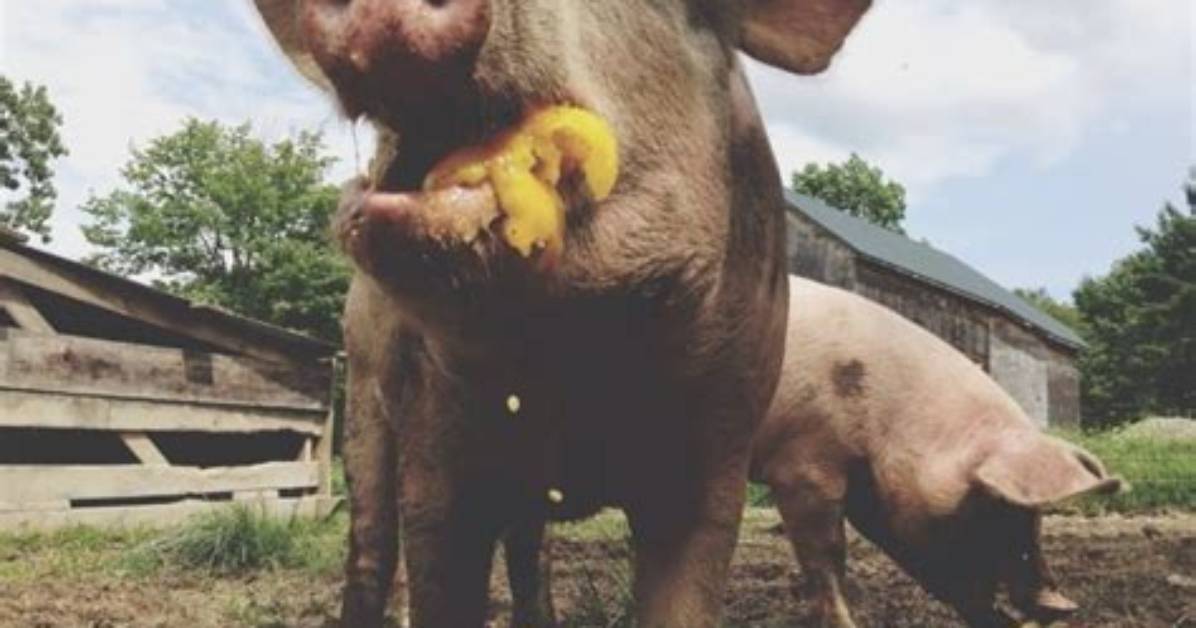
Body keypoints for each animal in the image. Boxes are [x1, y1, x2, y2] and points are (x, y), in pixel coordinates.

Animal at [250, 1, 872, 626]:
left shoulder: (721, 442)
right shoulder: (431, 438)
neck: (570, 365)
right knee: (372, 539)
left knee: (529, 548)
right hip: (361, 386)